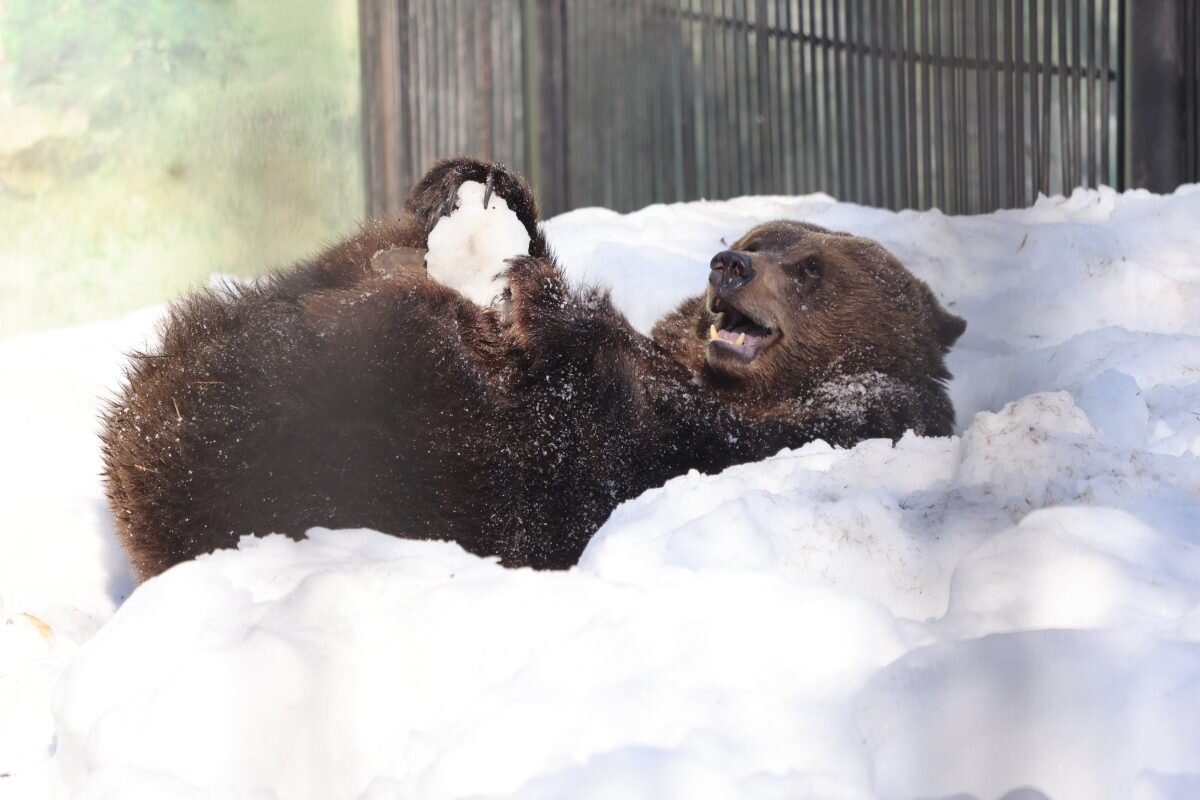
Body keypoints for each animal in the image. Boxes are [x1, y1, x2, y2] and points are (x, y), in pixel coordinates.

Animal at [100, 155, 964, 582]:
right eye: (758, 233)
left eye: (811, 267)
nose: (730, 264)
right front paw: (474, 196)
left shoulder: (754, 432)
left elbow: (594, 429)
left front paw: (517, 274)